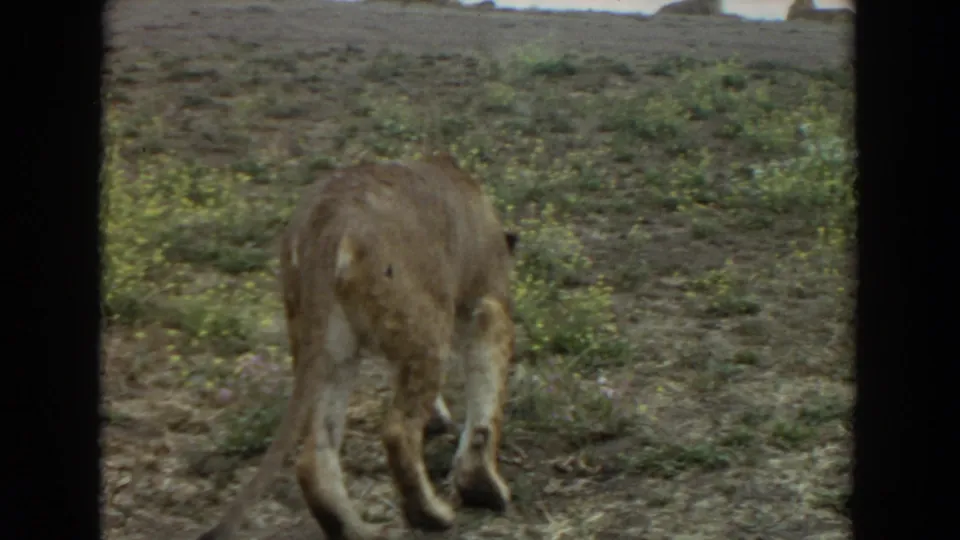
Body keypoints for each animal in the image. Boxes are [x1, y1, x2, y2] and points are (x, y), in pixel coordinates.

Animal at [195, 153, 519, 540]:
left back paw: (355, 529)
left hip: (328, 351)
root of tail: (331, 220)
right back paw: (431, 515)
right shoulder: (488, 308)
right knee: (398, 432)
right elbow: (487, 408)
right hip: (427, 331)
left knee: (314, 454)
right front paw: (482, 487)